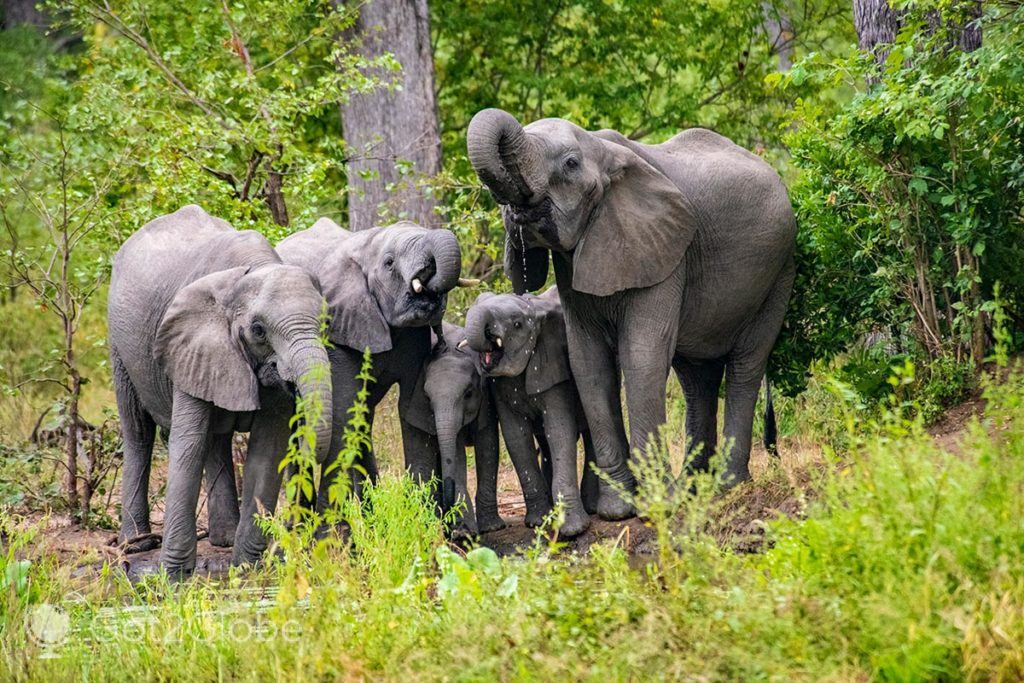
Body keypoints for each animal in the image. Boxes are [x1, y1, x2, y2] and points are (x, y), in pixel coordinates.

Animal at [108, 204, 331, 577]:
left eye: (326, 323)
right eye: (258, 330)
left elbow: (267, 449)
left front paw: (249, 568)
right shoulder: (190, 344)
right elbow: (189, 444)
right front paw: (173, 577)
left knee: (216, 438)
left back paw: (223, 539)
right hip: (119, 346)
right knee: (138, 431)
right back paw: (137, 544)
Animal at [272, 216, 464, 516]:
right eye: (389, 262)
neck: (367, 243)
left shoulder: (415, 338)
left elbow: (409, 407)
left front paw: (420, 517)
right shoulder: (339, 327)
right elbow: (343, 407)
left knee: (363, 418)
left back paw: (370, 511)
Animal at [399, 323, 503, 536]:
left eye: (468, 394)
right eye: (428, 398)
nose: (449, 525)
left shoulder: (485, 399)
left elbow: (484, 447)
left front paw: (477, 530)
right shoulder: (414, 402)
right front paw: (459, 531)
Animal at [460, 286, 598, 536]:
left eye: (517, 325)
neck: (534, 309)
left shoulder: (554, 368)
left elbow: (559, 431)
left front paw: (573, 530)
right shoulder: (499, 385)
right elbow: (517, 436)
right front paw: (537, 522)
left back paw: (591, 506)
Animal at [468, 109, 794, 520]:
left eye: (571, 164)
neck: (603, 149)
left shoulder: (664, 253)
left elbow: (642, 357)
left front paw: (657, 506)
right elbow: (589, 363)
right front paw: (616, 509)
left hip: (779, 271)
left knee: (746, 365)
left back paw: (726, 487)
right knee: (696, 378)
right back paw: (693, 488)